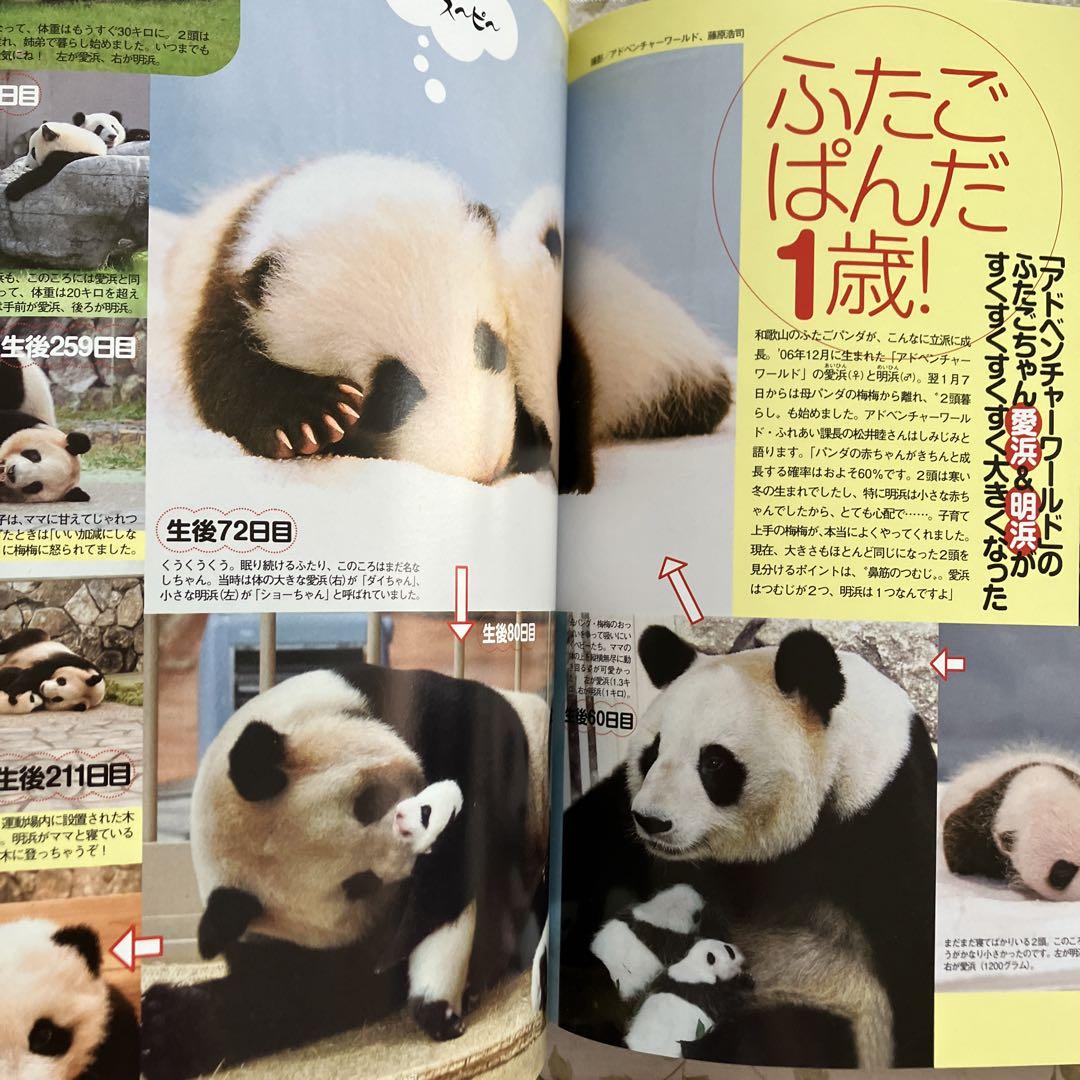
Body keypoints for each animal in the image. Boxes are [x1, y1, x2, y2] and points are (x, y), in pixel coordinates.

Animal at [140, 662, 550, 1079]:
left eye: (368, 803)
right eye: (358, 884)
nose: (418, 852)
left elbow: (481, 755)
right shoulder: (273, 936)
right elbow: (312, 990)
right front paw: (166, 1030)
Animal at [166, 153, 548, 485]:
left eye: (490, 347)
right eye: (391, 390)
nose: (484, 466)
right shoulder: (225, 295)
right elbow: (225, 372)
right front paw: (312, 418)